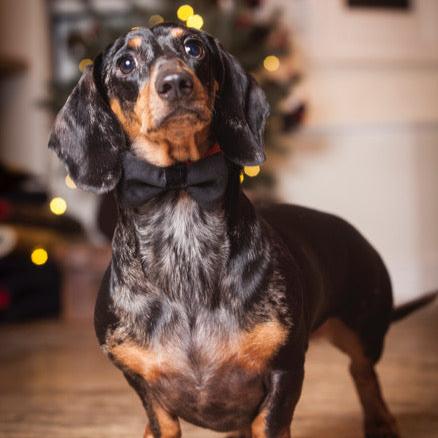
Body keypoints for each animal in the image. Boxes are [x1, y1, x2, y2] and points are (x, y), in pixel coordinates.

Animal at [48, 24, 434, 438]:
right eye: (125, 63)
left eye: (193, 47)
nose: (175, 83)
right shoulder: (142, 383)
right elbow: (160, 421)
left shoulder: (284, 369)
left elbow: (272, 420)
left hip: (364, 330)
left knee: (363, 373)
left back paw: (381, 422)